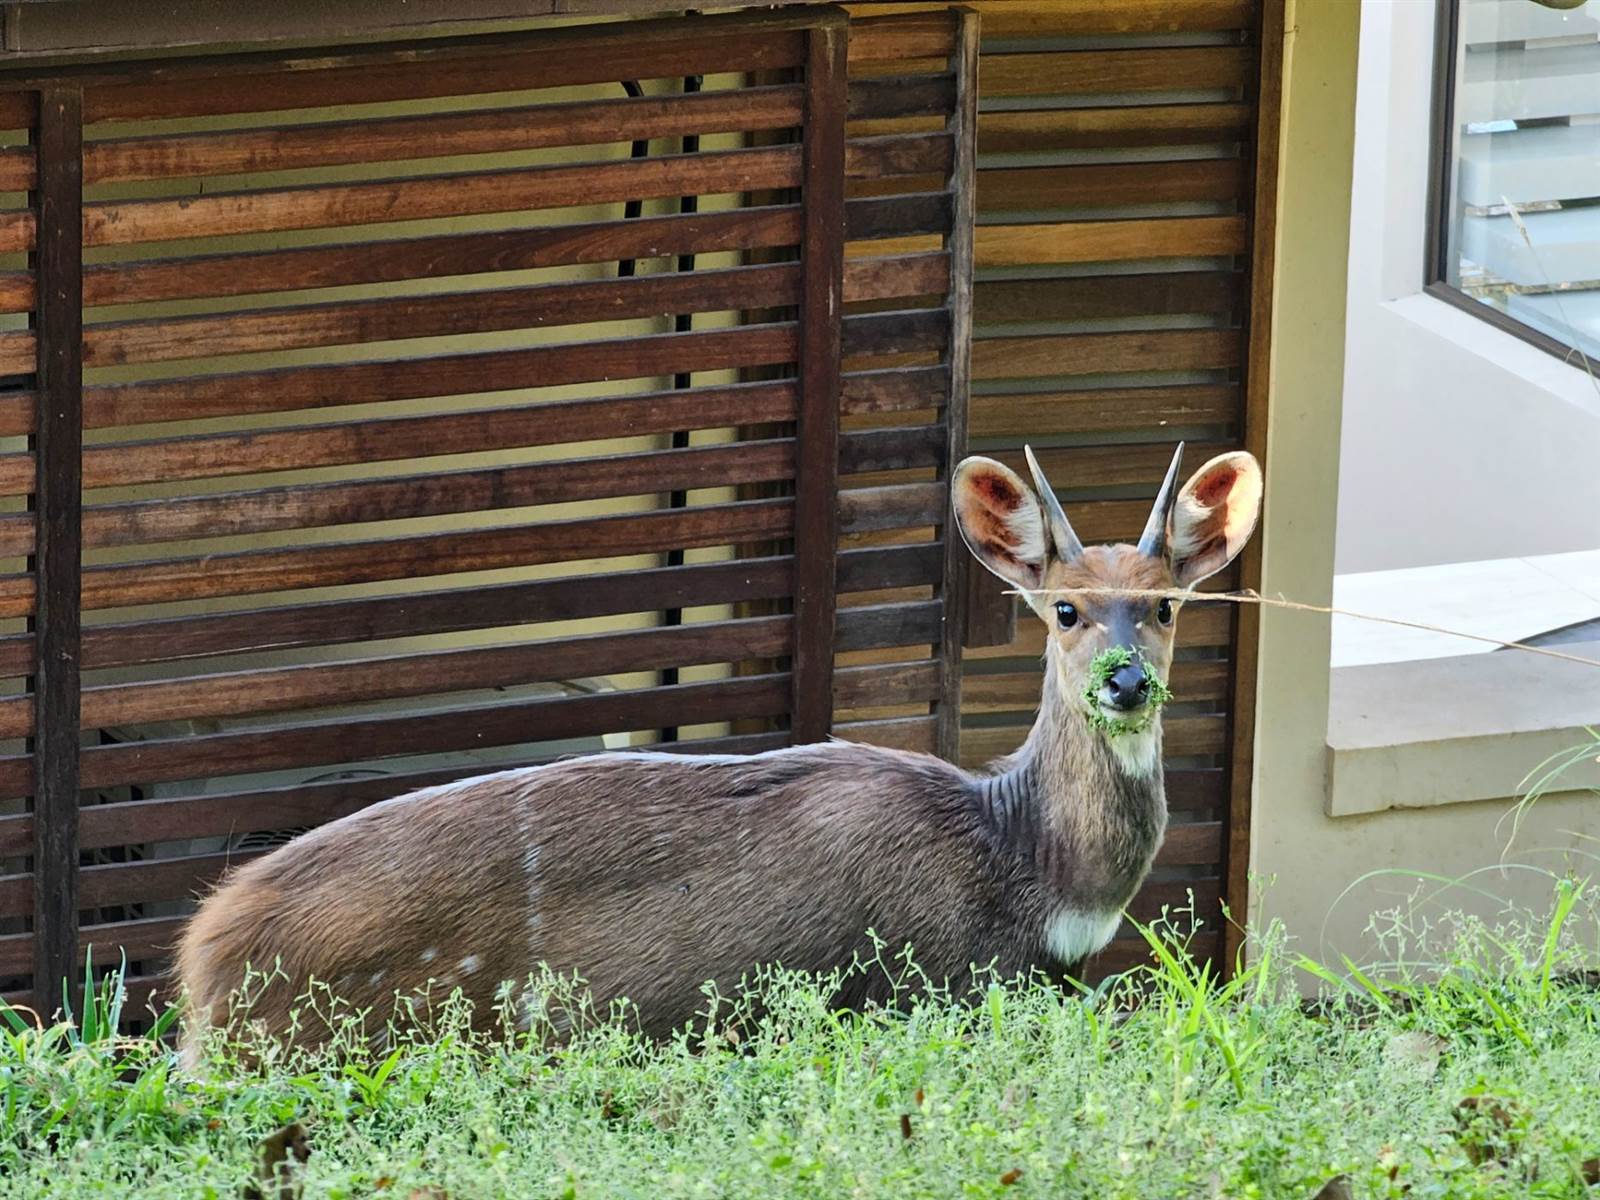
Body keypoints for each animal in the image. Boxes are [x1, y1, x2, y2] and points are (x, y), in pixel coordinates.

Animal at [175, 448, 1260, 1068]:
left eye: (1166, 605)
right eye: (1065, 608)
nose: (1127, 682)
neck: (1023, 862)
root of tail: (202, 968)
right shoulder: (926, 986)